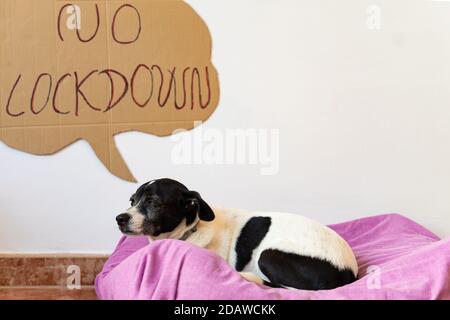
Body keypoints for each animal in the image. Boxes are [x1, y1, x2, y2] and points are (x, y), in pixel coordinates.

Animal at [116, 179, 358, 292]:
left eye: (153, 203)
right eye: (132, 201)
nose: (120, 218)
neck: (190, 231)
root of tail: (350, 273)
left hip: (268, 255)